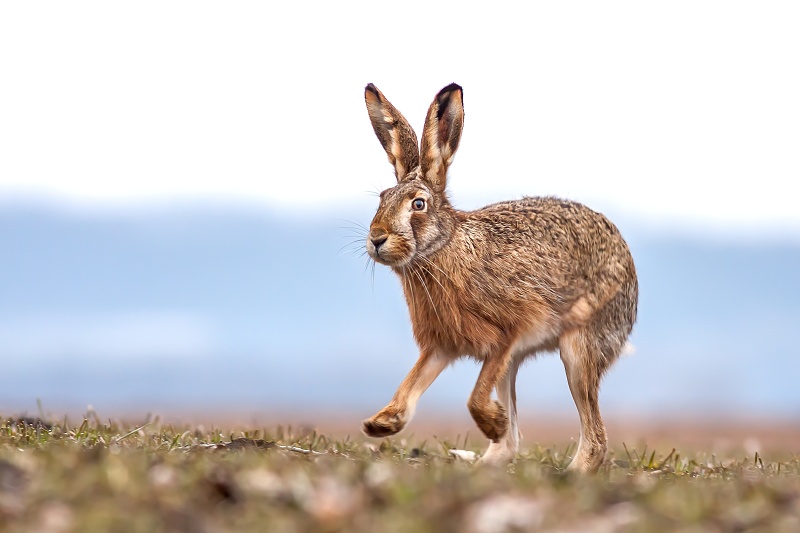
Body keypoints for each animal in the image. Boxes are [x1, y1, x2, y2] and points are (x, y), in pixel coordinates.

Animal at [360, 82, 638, 472]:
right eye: (382, 198)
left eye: (418, 204)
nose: (377, 239)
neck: (444, 249)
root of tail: (631, 270)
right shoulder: (442, 345)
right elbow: (411, 385)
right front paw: (381, 424)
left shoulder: (509, 334)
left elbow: (475, 397)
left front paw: (492, 422)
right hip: (519, 364)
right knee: (512, 443)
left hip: (579, 348)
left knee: (595, 437)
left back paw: (568, 471)